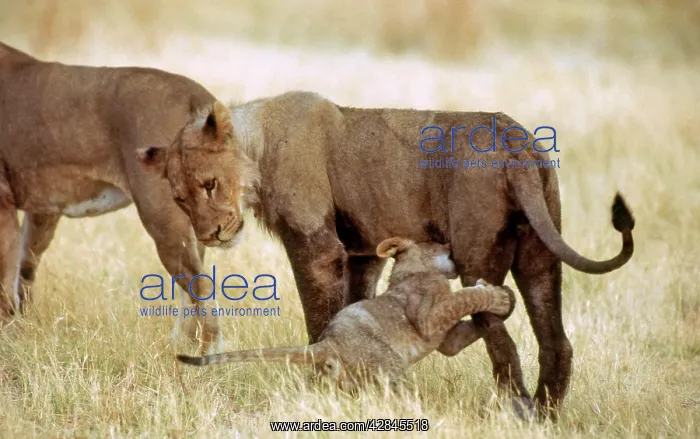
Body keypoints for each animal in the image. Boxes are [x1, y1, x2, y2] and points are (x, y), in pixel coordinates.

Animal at [0, 41, 223, 353]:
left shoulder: (3, 201)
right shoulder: (44, 207)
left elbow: (5, 285)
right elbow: (25, 269)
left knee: (201, 287)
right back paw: (181, 347)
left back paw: (205, 354)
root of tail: (197, 95)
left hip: (161, 220)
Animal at [178, 237, 516, 392]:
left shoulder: (446, 340)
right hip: (391, 369)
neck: (412, 269)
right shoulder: (428, 318)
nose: (449, 243)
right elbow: (464, 297)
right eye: (435, 242)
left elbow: (467, 326)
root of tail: (327, 343)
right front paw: (502, 296)